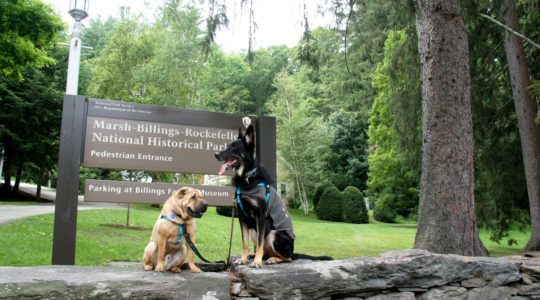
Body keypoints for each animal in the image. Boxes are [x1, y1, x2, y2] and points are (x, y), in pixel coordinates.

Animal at [213, 123, 332, 268]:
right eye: (227, 145)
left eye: (234, 148)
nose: (215, 154)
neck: (246, 177)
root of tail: (293, 251)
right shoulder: (242, 218)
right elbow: (245, 244)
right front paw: (243, 259)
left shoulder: (260, 217)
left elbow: (259, 244)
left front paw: (257, 262)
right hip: (254, 232)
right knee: (267, 252)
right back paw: (255, 256)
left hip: (273, 234)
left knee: (288, 258)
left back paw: (272, 259)